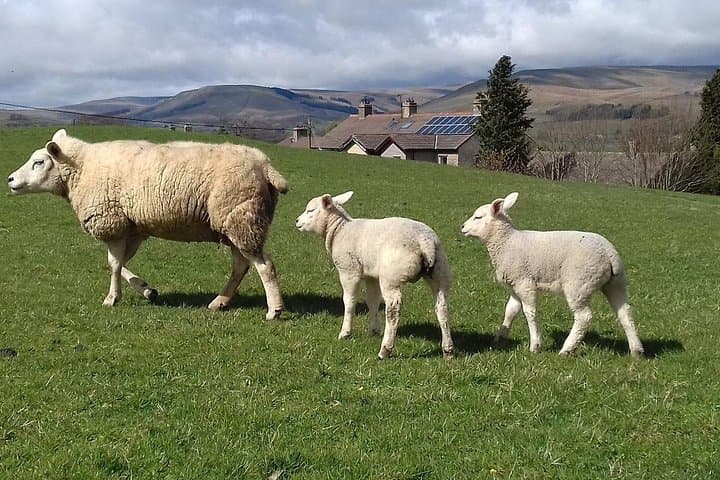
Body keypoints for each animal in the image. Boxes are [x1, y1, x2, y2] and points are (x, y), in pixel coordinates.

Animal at [7, 129, 287, 320]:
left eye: (39, 162)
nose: (9, 179)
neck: (83, 168)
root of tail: (265, 165)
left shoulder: (113, 222)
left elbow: (113, 264)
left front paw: (112, 298)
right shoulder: (132, 228)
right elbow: (120, 264)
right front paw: (145, 289)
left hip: (242, 217)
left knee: (265, 266)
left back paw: (274, 310)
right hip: (235, 222)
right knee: (241, 265)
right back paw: (220, 302)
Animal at [295, 191, 454, 359]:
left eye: (311, 210)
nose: (297, 221)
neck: (339, 229)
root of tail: (425, 242)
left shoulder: (349, 271)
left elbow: (349, 301)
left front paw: (345, 333)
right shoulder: (371, 276)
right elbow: (372, 301)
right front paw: (373, 330)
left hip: (392, 277)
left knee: (393, 309)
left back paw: (385, 350)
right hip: (440, 272)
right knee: (442, 307)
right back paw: (448, 350)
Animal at [461, 192, 644, 358]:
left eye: (478, 217)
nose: (462, 227)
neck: (507, 242)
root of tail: (609, 253)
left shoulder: (524, 282)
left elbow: (530, 313)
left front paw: (535, 345)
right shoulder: (514, 286)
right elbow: (510, 312)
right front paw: (499, 340)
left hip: (579, 284)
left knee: (584, 317)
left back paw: (566, 350)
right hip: (615, 283)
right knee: (625, 313)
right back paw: (637, 351)